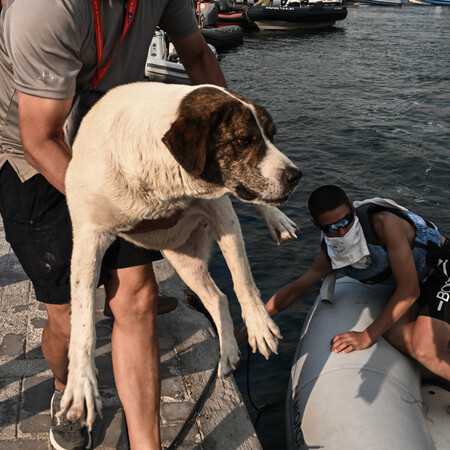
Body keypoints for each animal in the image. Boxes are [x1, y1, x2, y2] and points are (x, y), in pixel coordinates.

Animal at [61, 81, 300, 426]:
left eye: (272, 135)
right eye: (243, 139)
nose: (296, 176)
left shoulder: (220, 208)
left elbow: (242, 276)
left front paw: (258, 324)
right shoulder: (87, 238)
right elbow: (81, 319)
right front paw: (81, 384)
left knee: (224, 288)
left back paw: (276, 219)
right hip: (182, 259)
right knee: (217, 298)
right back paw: (227, 352)